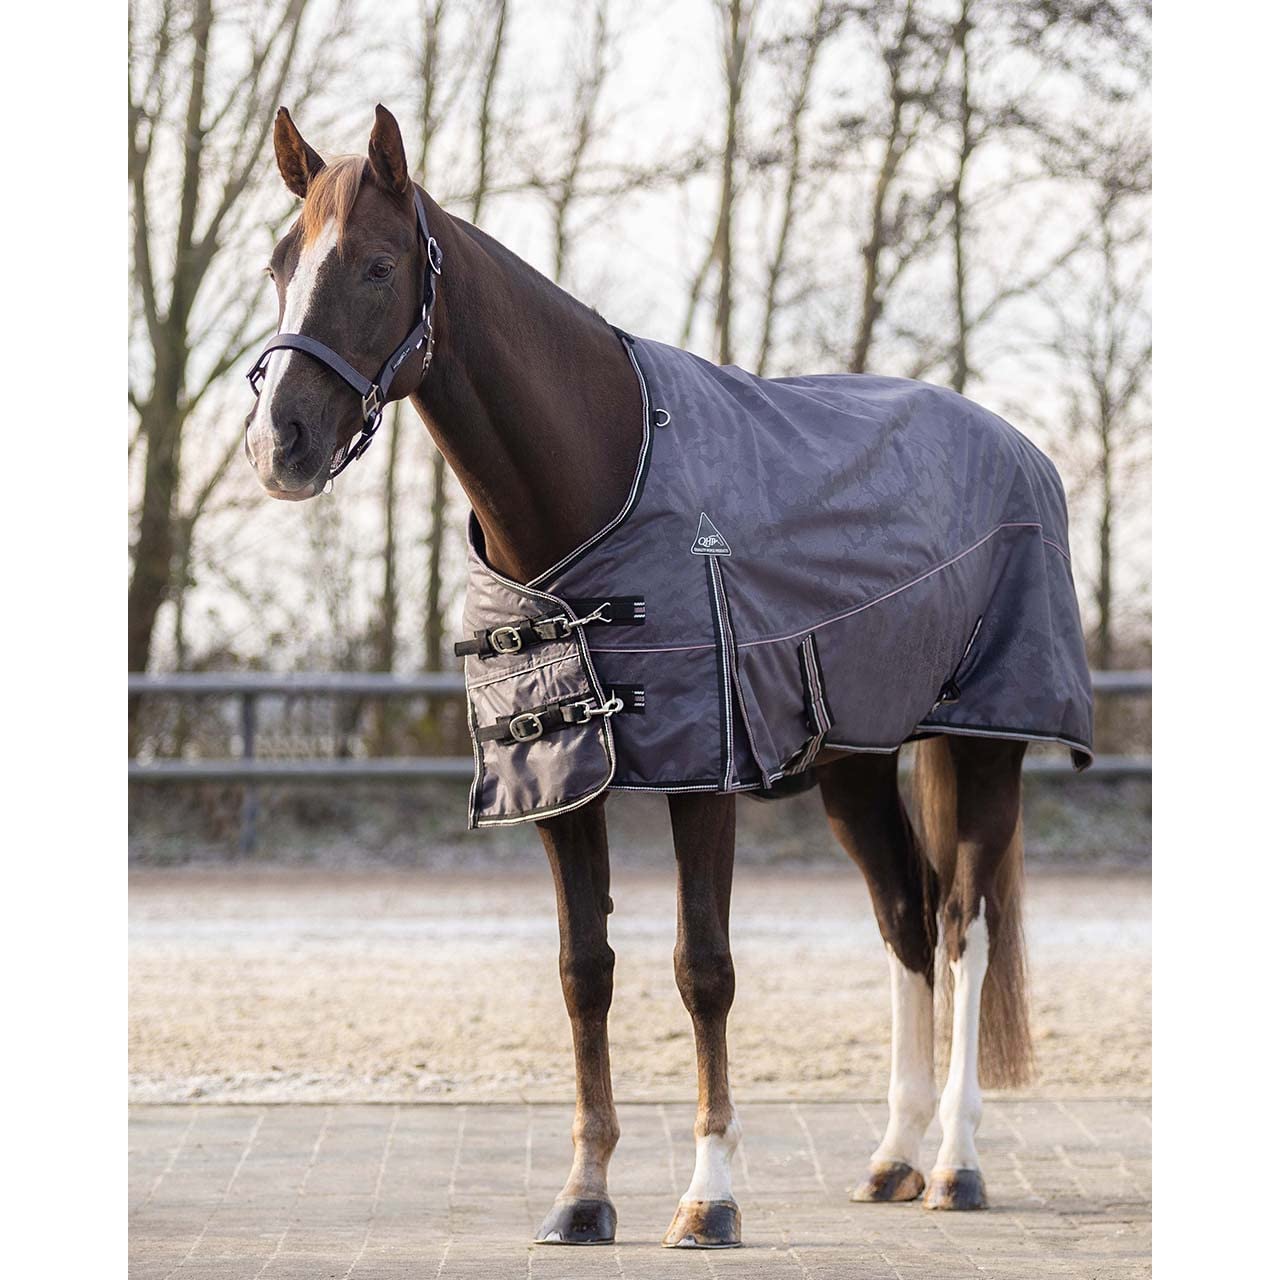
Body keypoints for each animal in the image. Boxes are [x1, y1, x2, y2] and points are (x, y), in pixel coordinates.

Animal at [244, 104, 1068, 1247]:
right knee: (904, 917)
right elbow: (583, 972)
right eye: (279, 264)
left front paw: (709, 1195)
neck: (600, 481)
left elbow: (702, 969)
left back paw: (955, 1163)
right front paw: (583, 1195)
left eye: (374, 265)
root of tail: (1018, 446)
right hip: (854, 762)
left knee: (961, 926)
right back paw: (893, 1158)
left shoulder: (701, 767)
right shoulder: (557, 776)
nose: (279, 442)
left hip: (984, 741)